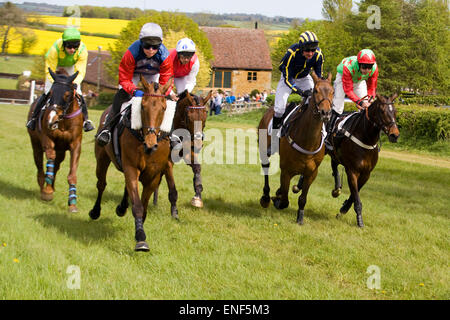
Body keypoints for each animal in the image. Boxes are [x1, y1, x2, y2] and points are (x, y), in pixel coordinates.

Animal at [27, 67, 84, 212]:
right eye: (50, 93)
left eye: (67, 95)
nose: (52, 120)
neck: (63, 121)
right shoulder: (47, 139)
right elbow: (50, 158)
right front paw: (47, 192)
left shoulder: (76, 144)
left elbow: (72, 174)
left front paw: (72, 203)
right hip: (36, 145)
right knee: (40, 166)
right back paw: (44, 188)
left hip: (61, 151)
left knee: (57, 165)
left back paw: (51, 187)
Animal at [89, 76, 177, 251]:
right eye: (142, 106)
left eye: (164, 108)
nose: (150, 144)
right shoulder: (131, 167)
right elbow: (137, 205)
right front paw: (141, 239)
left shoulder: (154, 175)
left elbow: (143, 206)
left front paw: (139, 231)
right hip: (102, 158)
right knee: (101, 184)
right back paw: (96, 211)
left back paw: (122, 207)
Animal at [256, 71, 334, 224]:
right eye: (315, 91)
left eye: (333, 91)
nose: (326, 113)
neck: (307, 140)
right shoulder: (286, 170)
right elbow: (284, 201)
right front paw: (277, 199)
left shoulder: (311, 173)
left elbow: (302, 198)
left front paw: (300, 218)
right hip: (263, 149)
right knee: (266, 167)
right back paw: (266, 197)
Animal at [326, 92, 400, 228]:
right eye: (382, 111)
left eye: (395, 111)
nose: (394, 135)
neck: (366, 138)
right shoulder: (352, 171)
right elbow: (356, 197)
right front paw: (360, 221)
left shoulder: (366, 173)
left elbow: (354, 195)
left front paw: (343, 208)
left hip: (335, 154)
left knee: (334, 164)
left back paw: (336, 189)